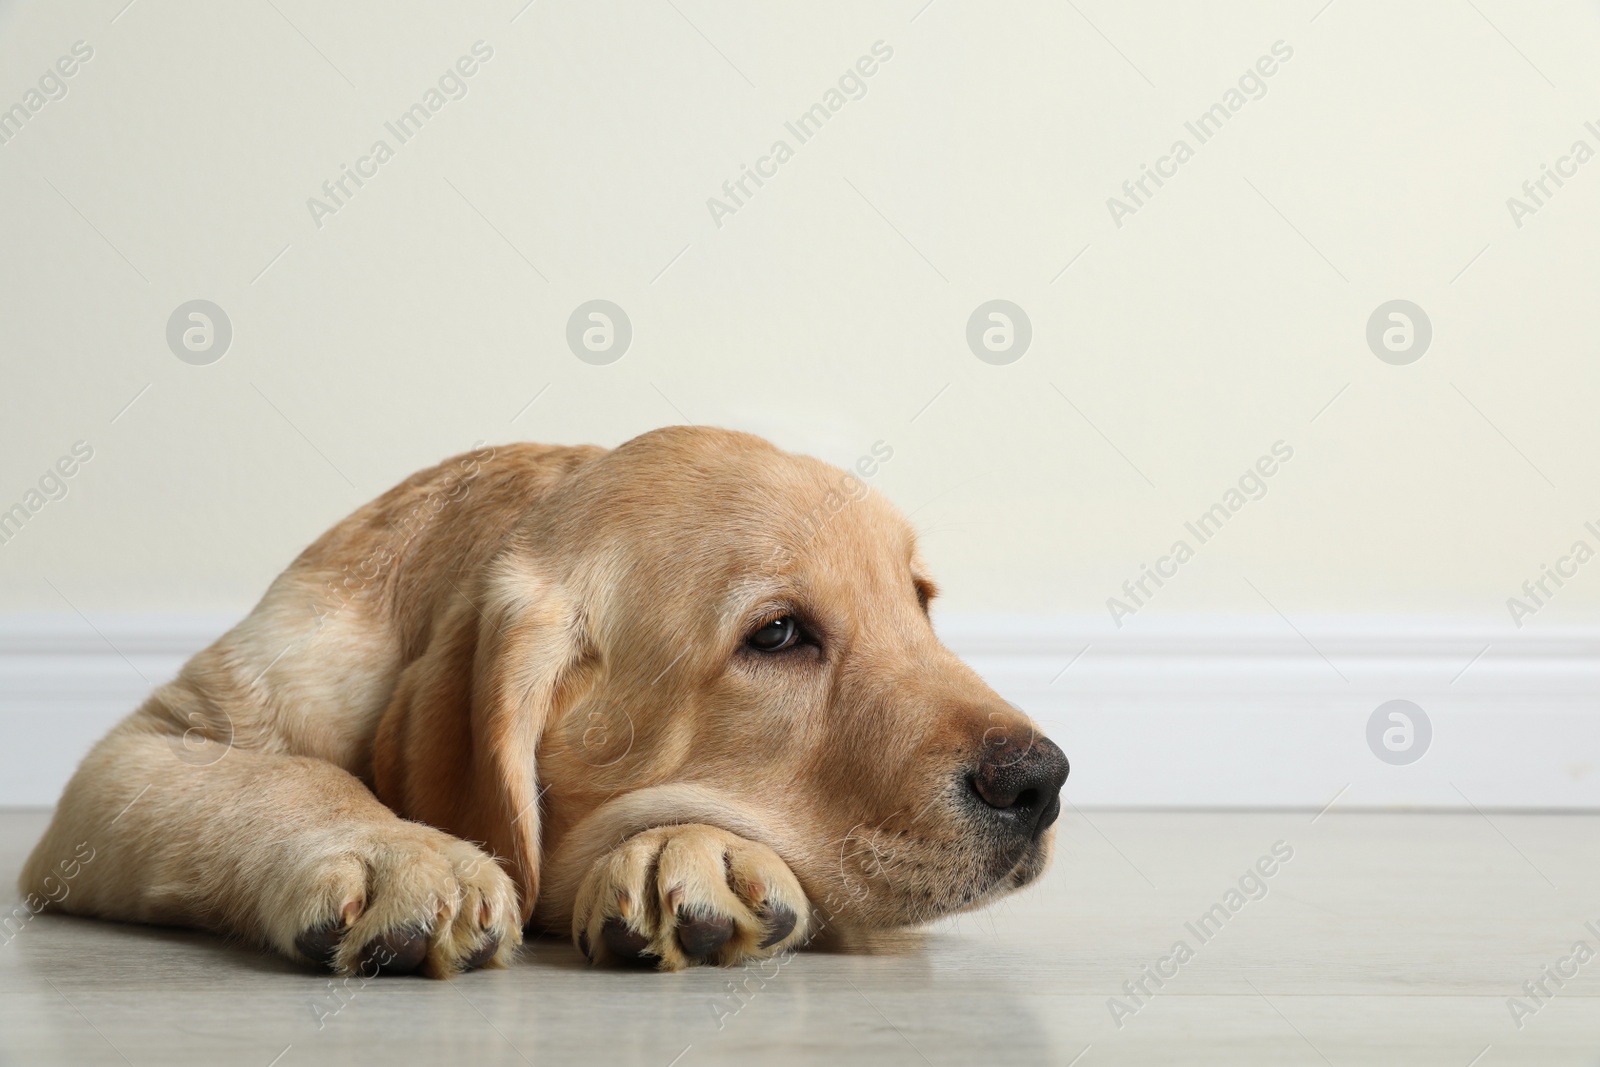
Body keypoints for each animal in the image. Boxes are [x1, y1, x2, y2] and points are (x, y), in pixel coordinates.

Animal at [18, 422, 1068, 979]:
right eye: (774, 634)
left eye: (920, 603)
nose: (1043, 780)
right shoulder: (146, 748)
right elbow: (284, 781)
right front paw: (398, 851)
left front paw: (687, 848)